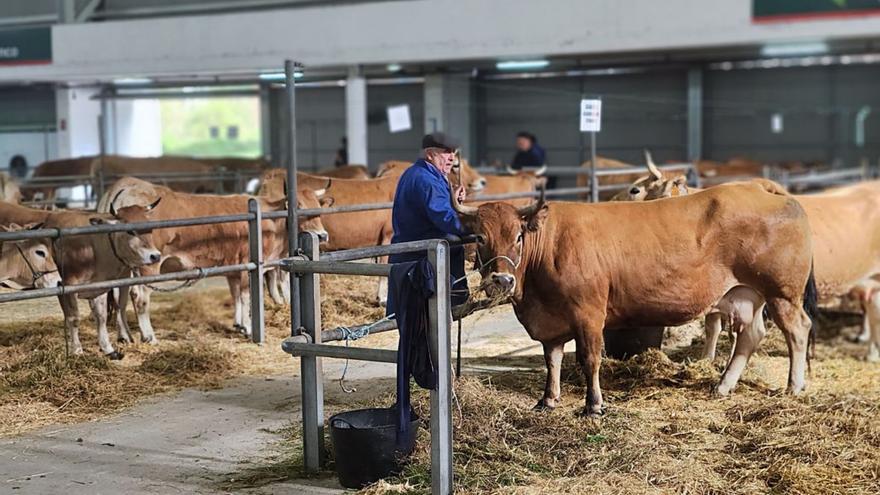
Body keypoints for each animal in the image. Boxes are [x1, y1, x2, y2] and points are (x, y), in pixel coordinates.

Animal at [0, 200, 161, 358]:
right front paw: (77, 350)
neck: (92, 247)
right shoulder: (67, 287)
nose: (155, 256)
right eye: (130, 231)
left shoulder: (98, 287)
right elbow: (74, 318)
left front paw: (108, 348)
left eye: (150, 229)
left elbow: (101, 317)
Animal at [454, 184, 820, 416]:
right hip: (746, 294)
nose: (502, 280)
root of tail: (767, 192)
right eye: (480, 237)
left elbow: (589, 359)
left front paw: (593, 405)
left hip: (782, 293)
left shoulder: (588, 313)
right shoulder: (550, 319)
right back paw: (723, 385)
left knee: (798, 330)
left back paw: (793, 386)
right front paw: (548, 400)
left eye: (518, 236)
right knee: (751, 335)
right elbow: (552, 359)